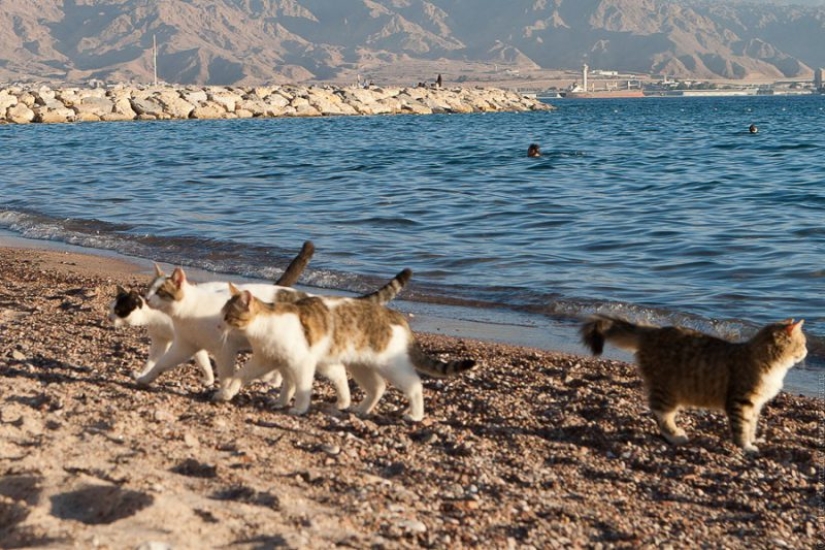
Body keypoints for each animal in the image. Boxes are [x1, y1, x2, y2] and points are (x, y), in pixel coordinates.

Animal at [217, 274, 476, 422]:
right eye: (222, 313)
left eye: (229, 316)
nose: (219, 323)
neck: (265, 325)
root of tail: (395, 315)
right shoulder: (267, 360)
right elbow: (245, 376)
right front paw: (231, 392)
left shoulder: (301, 363)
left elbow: (301, 387)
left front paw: (299, 408)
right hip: (360, 364)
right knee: (377, 386)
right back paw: (362, 409)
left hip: (390, 364)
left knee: (414, 385)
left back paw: (416, 414)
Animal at [580, 316, 804, 454]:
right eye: (802, 344)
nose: (806, 352)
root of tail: (651, 332)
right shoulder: (741, 401)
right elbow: (741, 427)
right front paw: (746, 446)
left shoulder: (756, 404)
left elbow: (752, 425)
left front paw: (753, 440)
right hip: (667, 390)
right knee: (661, 413)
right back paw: (675, 435)